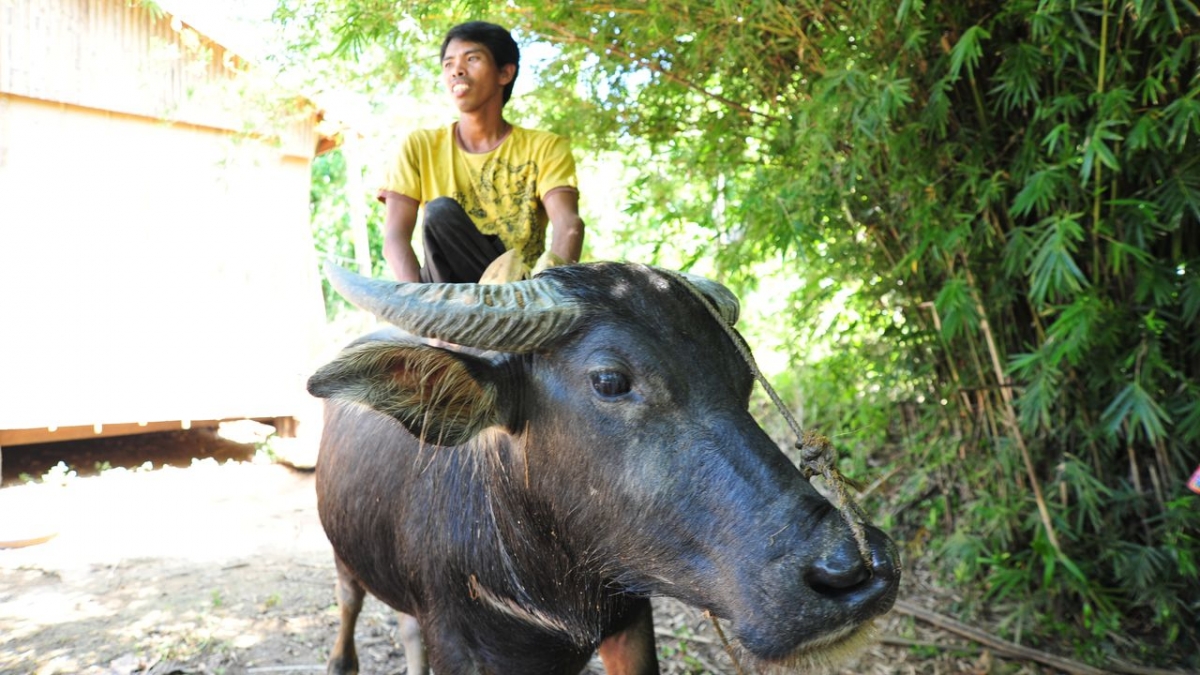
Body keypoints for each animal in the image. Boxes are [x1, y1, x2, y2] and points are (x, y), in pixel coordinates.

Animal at [309, 261, 902, 672]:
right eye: (610, 380)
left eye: (742, 374)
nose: (850, 570)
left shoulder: (632, 625)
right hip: (343, 554)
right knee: (349, 603)